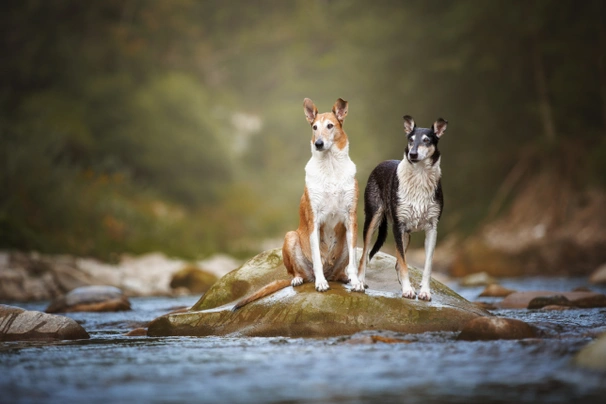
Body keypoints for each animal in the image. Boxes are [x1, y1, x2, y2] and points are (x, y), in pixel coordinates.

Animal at [235, 98, 364, 310]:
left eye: (330, 126)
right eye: (314, 127)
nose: (318, 143)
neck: (331, 167)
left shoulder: (350, 218)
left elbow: (354, 263)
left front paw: (356, 282)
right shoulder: (314, 219)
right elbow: (317, 258)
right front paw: (321, 284)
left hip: (345, 244)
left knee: (339, 272)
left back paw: (343, 278)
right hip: (291, 237)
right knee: (297, 273)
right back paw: (301, 279)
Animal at [358, 113, 448, 300]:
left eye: (426, 140)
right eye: (410, 140)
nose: (413, 154)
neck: (420, 176)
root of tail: (381, 163)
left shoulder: (432, 228)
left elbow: (426, 265)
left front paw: (424, 292)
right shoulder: (397, 227)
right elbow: (403, 262)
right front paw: (407, 290)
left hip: (406, 234)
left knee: (397, 264)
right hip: (373, 220)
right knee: (364, 256)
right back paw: (360, 283)